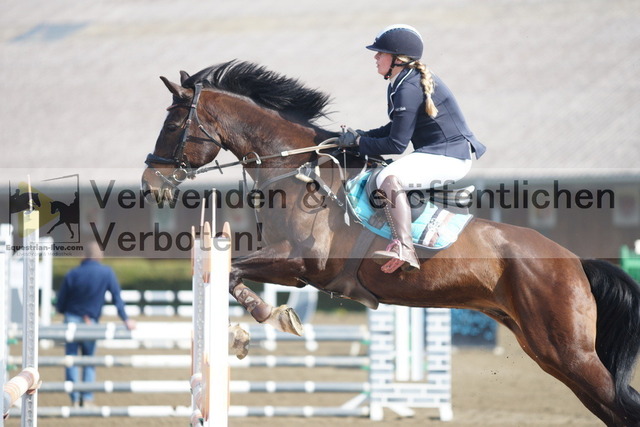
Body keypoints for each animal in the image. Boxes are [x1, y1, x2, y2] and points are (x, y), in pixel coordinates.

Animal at [142, 59, 640, 424]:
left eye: (173, 125)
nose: (150, 184)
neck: (297, 168)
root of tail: (576, 262)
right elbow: (232, 276)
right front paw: (258, 325)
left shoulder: (300, 265)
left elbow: (235, 273)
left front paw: (270, 318)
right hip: (547, 351)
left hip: (568, 351)